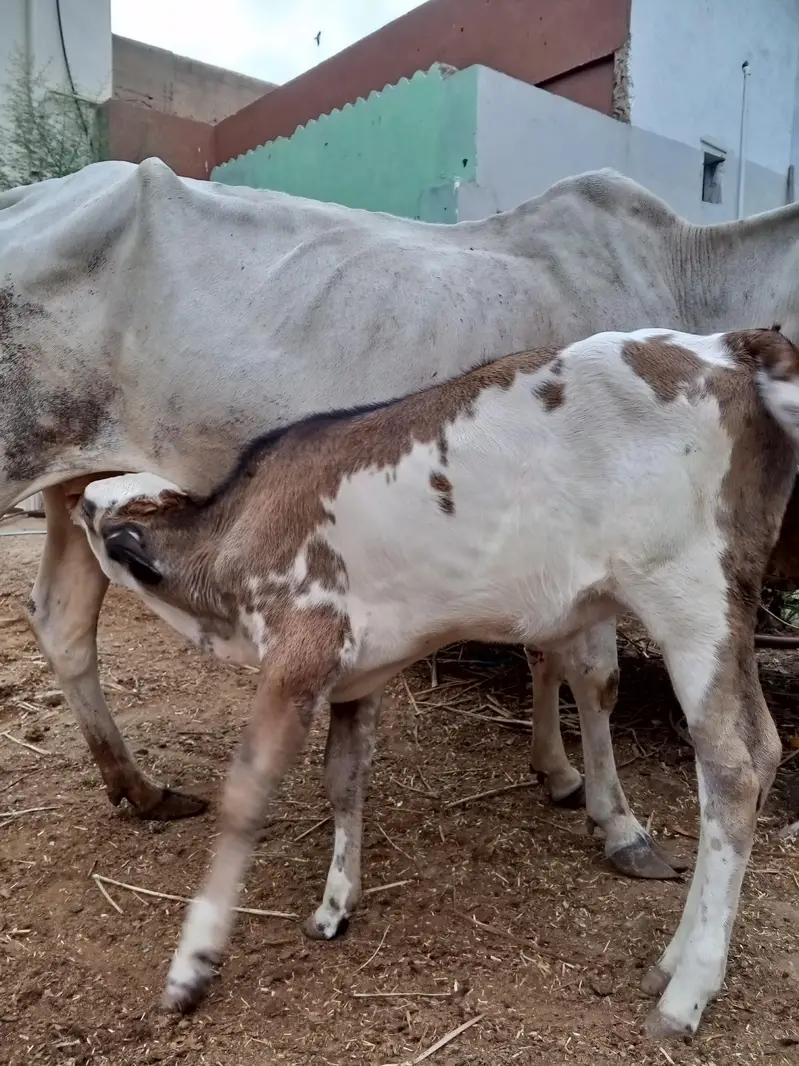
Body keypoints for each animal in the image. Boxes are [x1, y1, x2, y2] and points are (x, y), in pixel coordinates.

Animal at [3, 157, 799, 857]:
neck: (689, 274)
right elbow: (595, 679)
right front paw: (619, 823)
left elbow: (546, 654)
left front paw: (557, 771)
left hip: (81, 477)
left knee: (62, 622)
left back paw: (139, 788)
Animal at [74, 325, 799, 1038]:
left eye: (111, 511)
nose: (78, 496)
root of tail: (732, 346)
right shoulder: (354, 675)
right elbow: (343, 778)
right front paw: (336, 903)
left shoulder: (299, 653)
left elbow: (245, 799)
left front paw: (191, 965)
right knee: (749, 755)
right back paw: (670, 961)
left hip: (690, 598)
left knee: (734, 765)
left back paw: (686, 993)